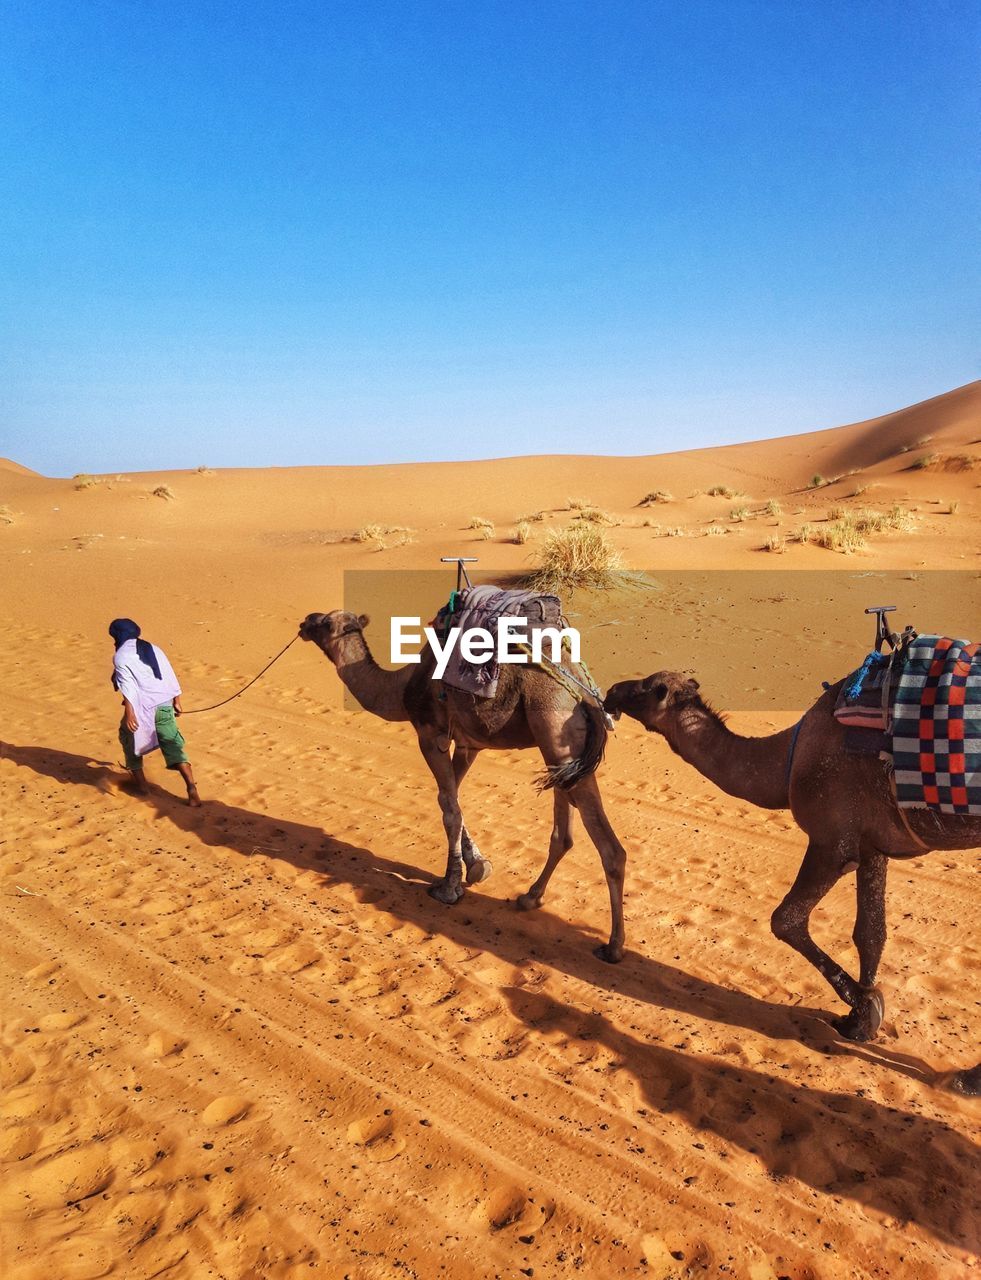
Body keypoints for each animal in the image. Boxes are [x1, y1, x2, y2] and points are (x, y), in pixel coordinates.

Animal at [299, 609, 630, 962]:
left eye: (325, 623)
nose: (305, 622)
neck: (401, 687)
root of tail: (588, 698)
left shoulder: (430, 734)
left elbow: (449, 808)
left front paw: (449, 886)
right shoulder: (468, 744)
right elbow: (450, 798)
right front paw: (477, 865)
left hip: (556, 735)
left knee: (610, 850)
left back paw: (613, 946)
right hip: (562, 758)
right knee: (563, 835)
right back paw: (530, 897)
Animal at [607, 665, 981, 1044]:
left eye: (647, 688)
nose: (610, 692)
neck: (789, 759)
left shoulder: (832, 842)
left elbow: (785, 919)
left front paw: (865, 1006)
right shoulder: (871, 845)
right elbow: (871, 933)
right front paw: (859, 1021)